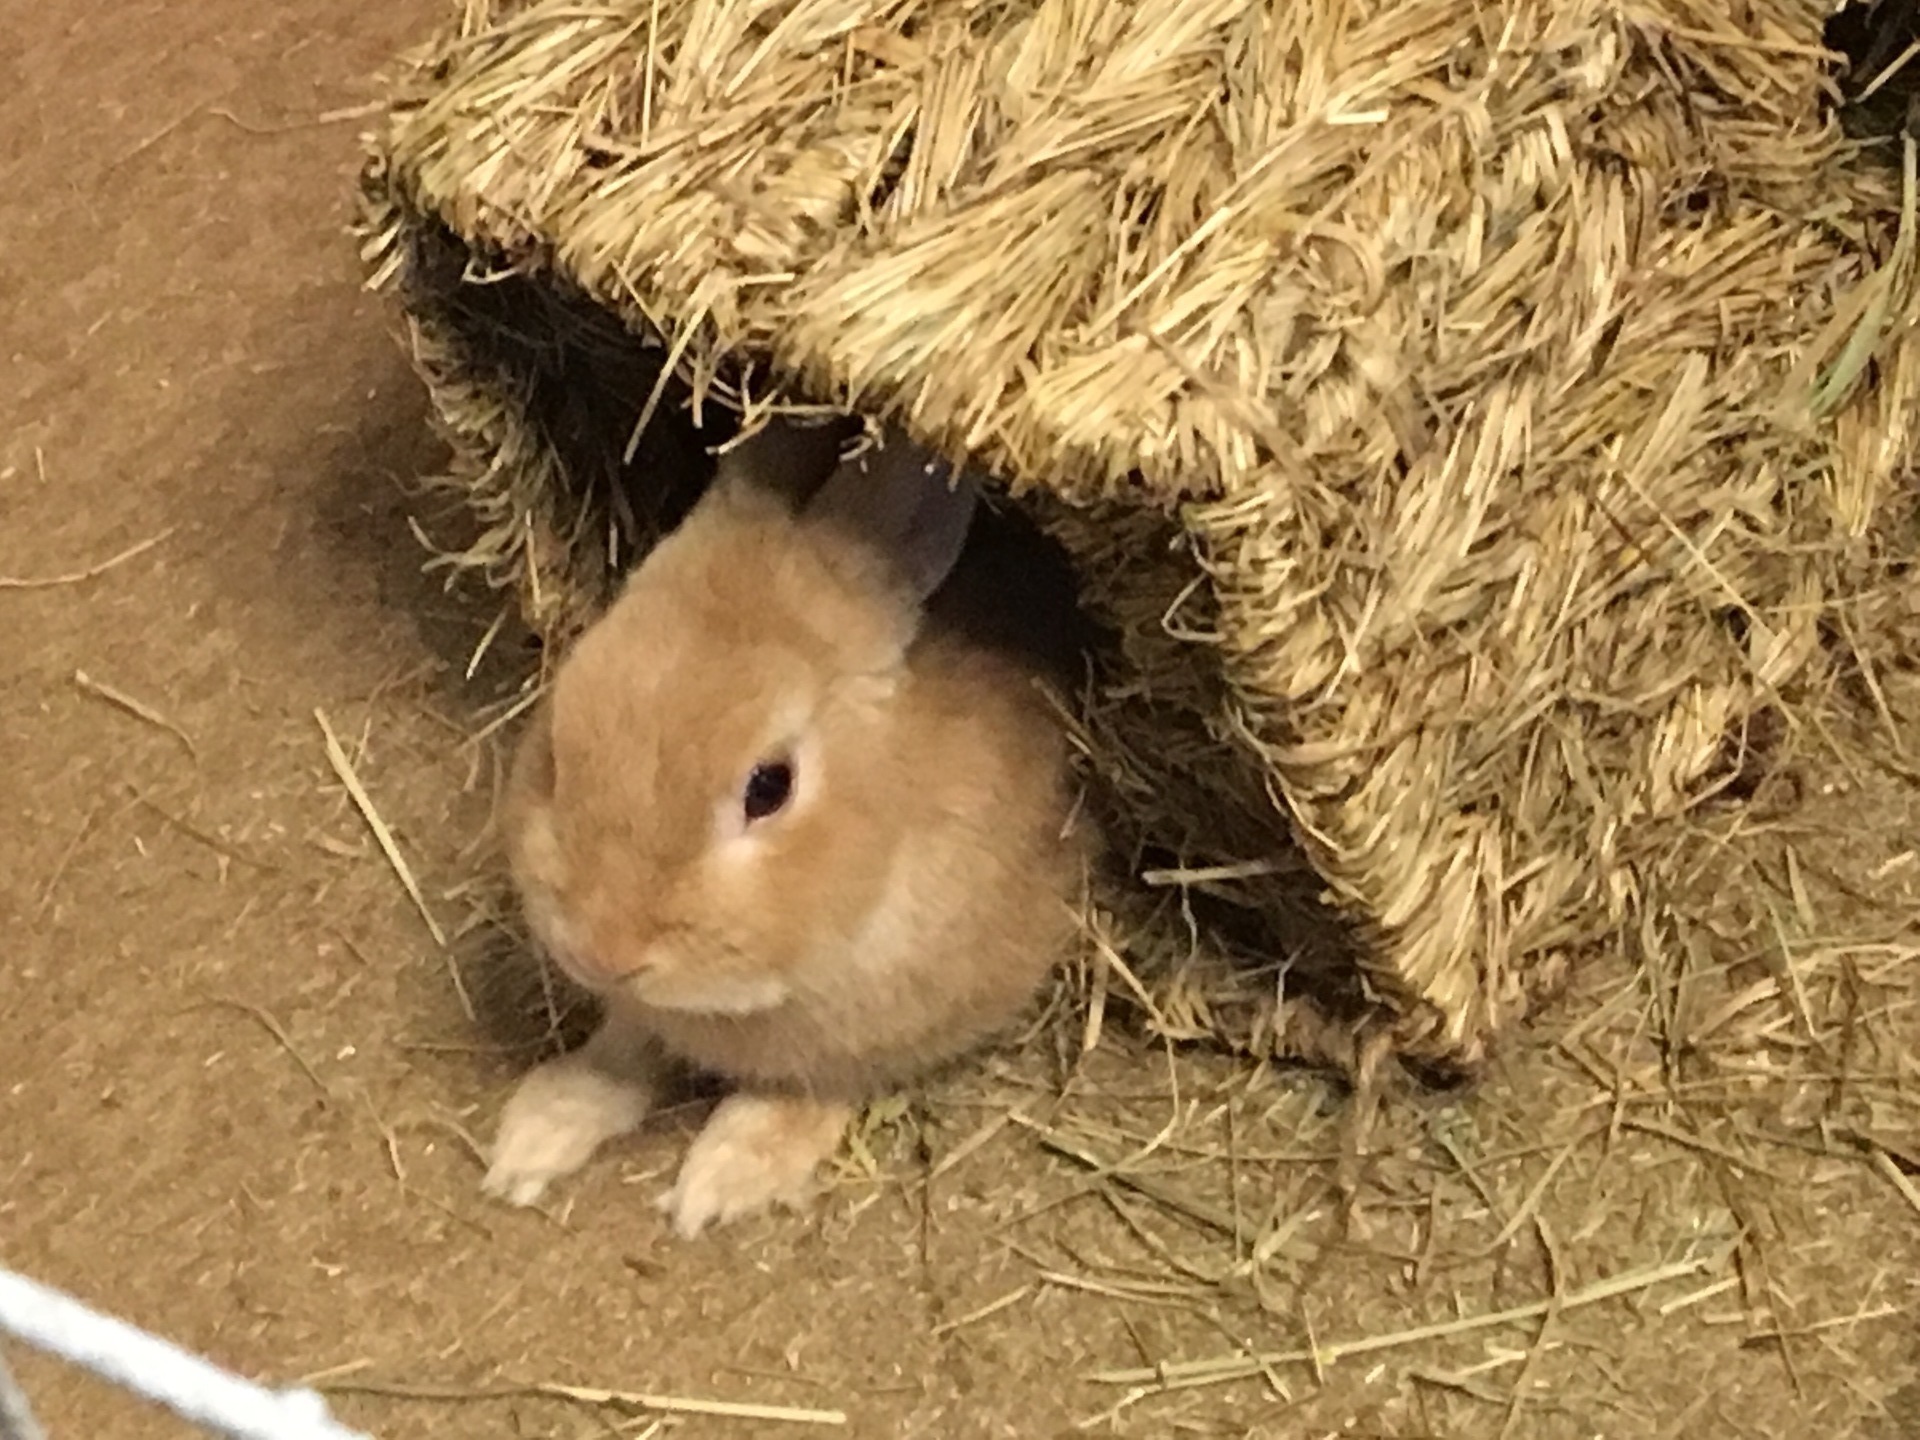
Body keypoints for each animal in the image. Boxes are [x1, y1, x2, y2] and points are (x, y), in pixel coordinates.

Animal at [478, 416, 1090, 1244]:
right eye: (560, 744)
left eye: (770, 787)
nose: (602, 954)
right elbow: (624, 1050)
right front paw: (538, 1131)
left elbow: (813, 1089)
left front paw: (728, 1174)